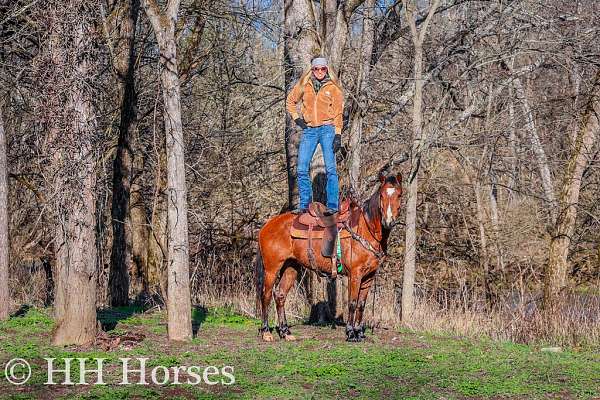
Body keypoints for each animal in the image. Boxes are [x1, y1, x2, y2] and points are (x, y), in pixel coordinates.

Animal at [254, 172, 404, 340]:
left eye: (399, 194)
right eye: (382, 195)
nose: (388, 221)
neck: (364, 229)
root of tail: (266, 225)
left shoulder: (369, 276)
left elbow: (361, 304)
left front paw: (359, 332)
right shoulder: (355, 274)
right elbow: (352, 302)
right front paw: (351, 333)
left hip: (291, 267)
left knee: (280, 295)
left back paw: (285, 332)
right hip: (271, 268)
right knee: (266, 295)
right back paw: (266, 332)